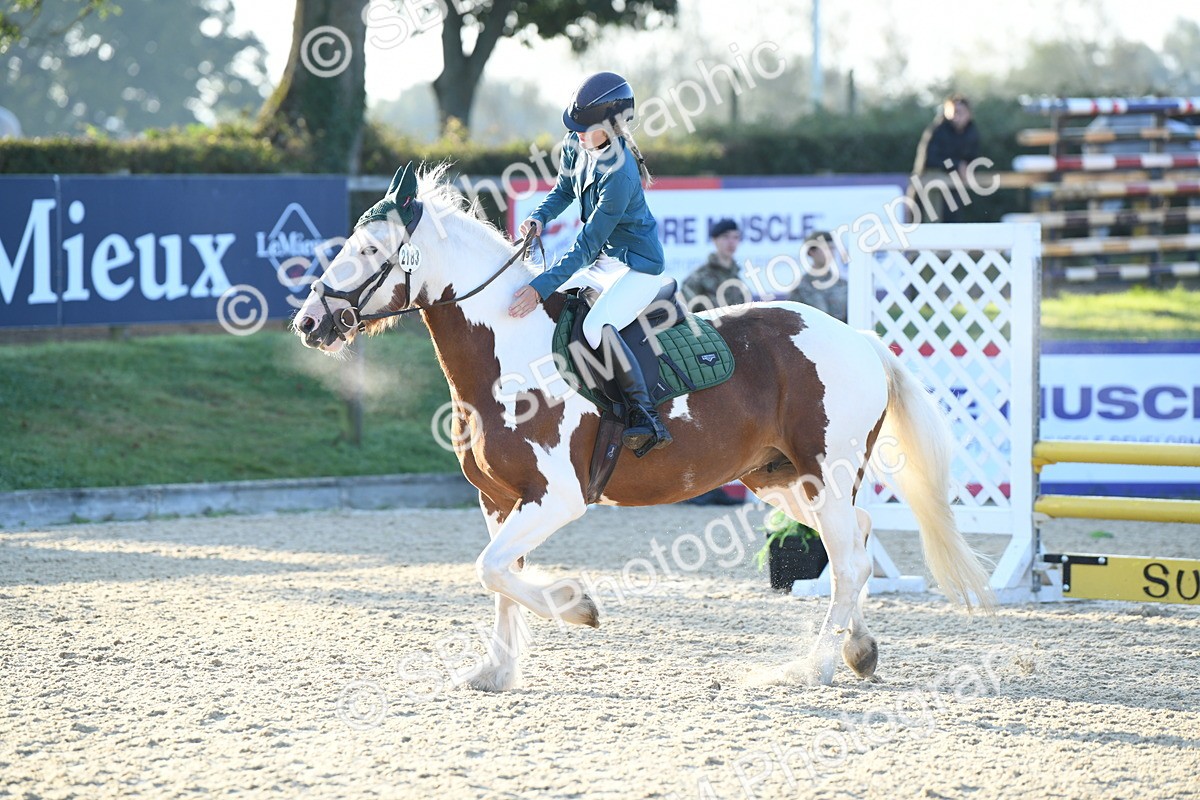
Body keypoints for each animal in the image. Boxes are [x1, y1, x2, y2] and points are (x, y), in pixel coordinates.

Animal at [293, 164, 994, 692]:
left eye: (371, 251)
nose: (308, 322)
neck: (509, 354)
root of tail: (859, 339)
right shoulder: (497, 500)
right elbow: (498, 577)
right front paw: (495, 670)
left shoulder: (557, 498)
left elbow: (492, 570)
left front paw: (576, 605)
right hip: (782, 478)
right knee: (860, 542)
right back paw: (858, 649)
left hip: (827, 471)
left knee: (847, 561)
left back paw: (812, 665)